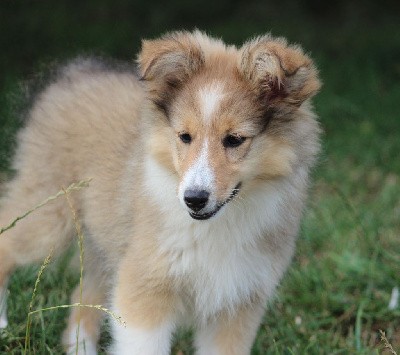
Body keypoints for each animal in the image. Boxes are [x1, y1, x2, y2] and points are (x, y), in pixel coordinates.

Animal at [0, 32, 320, 354]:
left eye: (234, 140)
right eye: (184, 137)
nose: (194, 199)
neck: (217, 225)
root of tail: (76, 71)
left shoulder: (237, 305)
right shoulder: (144, 287)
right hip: (49, 216)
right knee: (8, 238)